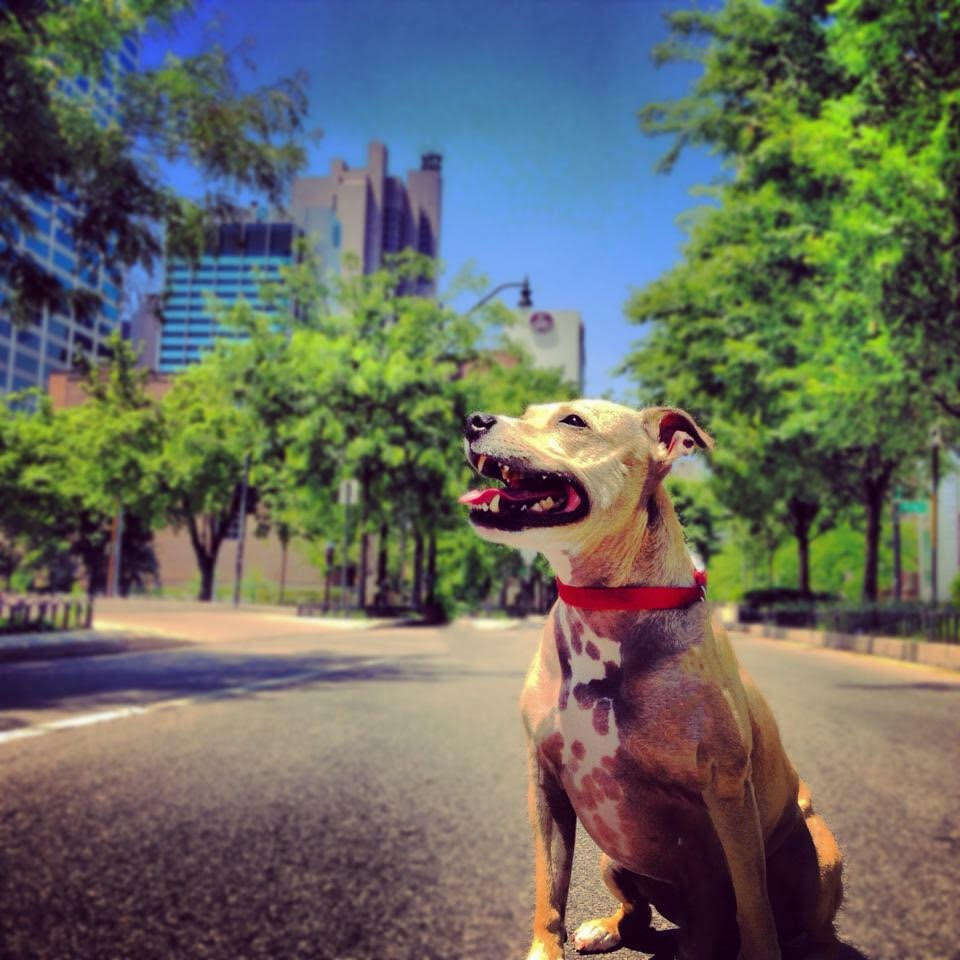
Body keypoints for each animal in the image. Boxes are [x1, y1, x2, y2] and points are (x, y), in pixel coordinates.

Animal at [458, 398, 840, 960]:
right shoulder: (545, 782)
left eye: (573, 421)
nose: (474, 420)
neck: (606, 606)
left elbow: (753, 904)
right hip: (613, 856)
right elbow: (549, 886)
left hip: (818, 853)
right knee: (639, 912)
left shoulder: (727, 791)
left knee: (802, 926)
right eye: (528, 411)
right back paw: (611, 928)